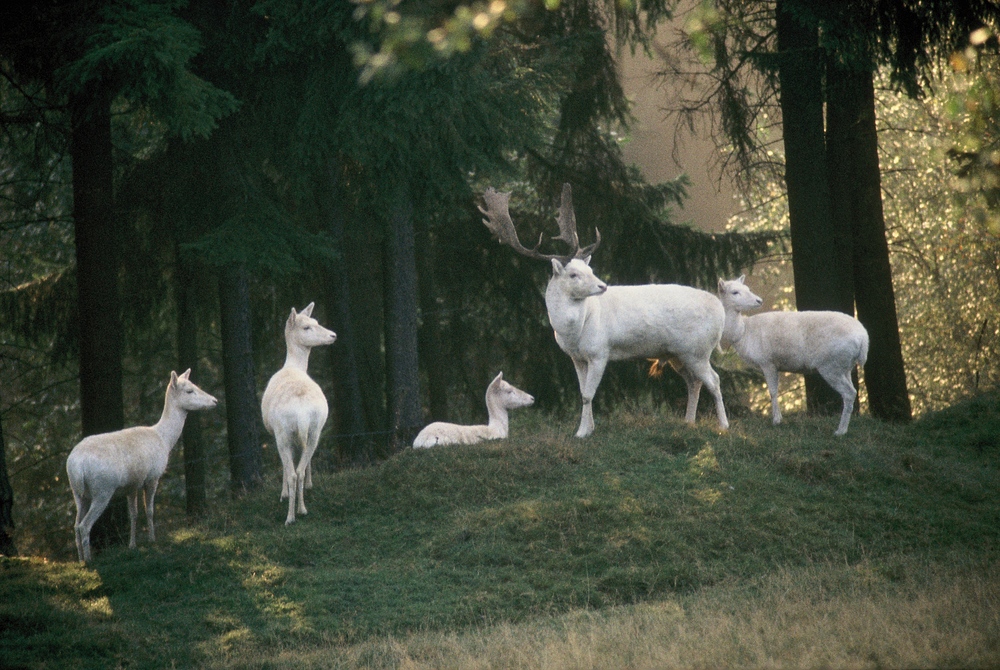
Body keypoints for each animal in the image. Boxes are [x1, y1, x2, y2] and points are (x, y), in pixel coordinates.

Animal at [65, 370, 218, 564]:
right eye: (190, 390)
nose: (215, 401)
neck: (164, 440)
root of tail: (76, 466)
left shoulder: (131, 485)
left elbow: (134, 514)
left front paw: (132, 545)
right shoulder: (153, 476)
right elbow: (150, 510)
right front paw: (152, 540)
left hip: (78, 492)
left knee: (76, 524)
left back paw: (80, 560)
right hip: (102, 489)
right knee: (84, 525)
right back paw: (90, 561)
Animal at [260, 302, 338, 528]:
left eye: (316, 321)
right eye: (307, 326)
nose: (333, 335)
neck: (294, 367)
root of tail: (302, 413)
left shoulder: (277, 435)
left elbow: (286, 467)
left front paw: (284, 494)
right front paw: (309, 486)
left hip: (283, 433)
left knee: (293, 473)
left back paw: (290, 517)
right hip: (315, 429)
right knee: (301, 468)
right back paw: (302, 509)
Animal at [478, 184, 728, 438]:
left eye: (590, 269)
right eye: (574, 274)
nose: (602, 286)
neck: (575, 332)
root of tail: (720, 311)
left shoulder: (600, 352)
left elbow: (588, 394)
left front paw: (582, 432)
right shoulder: (577, 358)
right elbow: (582, 393)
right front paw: (587, 429)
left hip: (697, 349)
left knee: (715, 380)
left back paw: (723, 425)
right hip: (678, 354)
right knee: (694, 382)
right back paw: (689, 422)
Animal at [720, 276, 868, 438]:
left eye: (748, 288)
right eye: (735, 292)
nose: (759, 300)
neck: (744, 333)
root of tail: (864, 339)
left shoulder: (767, 361)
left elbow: (773, 391)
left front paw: (776, 420)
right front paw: (778, 418)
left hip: (831, 365)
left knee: (849, 393)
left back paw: (840, 431)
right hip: (845, 366)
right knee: (853, 390)